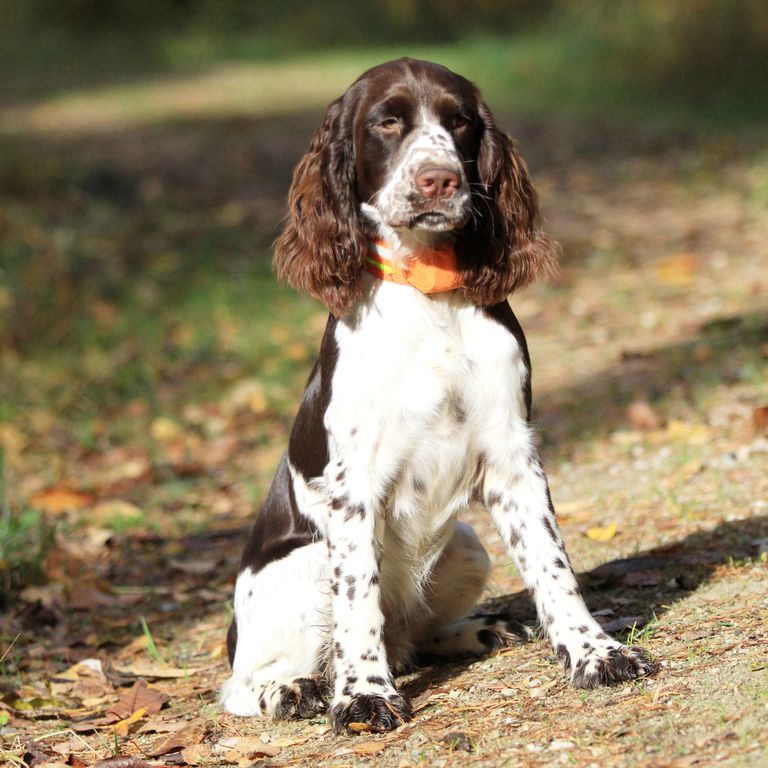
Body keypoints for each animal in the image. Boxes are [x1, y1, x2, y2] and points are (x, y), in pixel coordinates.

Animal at [220, 58, 656, 732]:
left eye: (460, 122)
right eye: (386, 122)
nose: (438, 179)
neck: (427, 291)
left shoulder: (513, 456)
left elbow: (554, 566)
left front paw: (595, 652)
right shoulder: (351, 485)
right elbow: (357, 602)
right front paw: (364, 694)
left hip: (467, 545)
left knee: (414, 633)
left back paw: (481, 630)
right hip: (302, 567)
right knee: (242, 683)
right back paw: (293, 690)